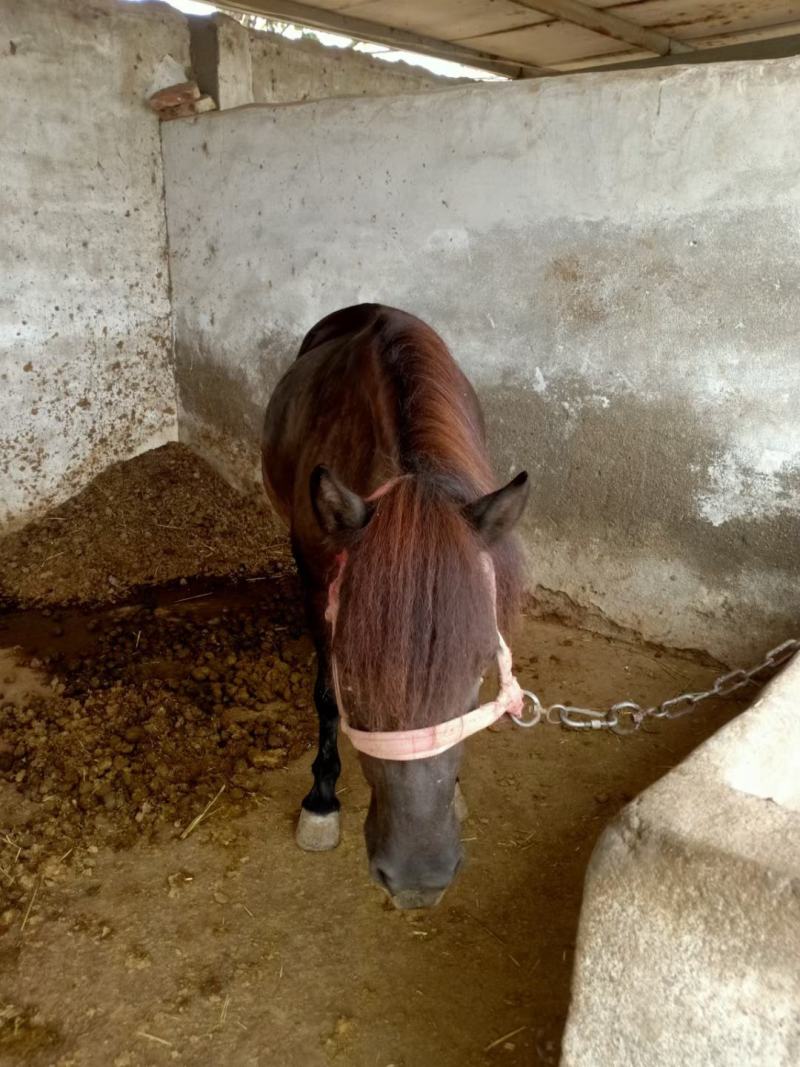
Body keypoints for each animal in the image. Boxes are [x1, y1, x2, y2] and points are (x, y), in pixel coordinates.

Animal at [262, 304, 529, 909]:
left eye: (481, 667)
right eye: (352, 670)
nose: (418, 879)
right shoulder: (316, 581)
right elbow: (324, 698)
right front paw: (321, 799)